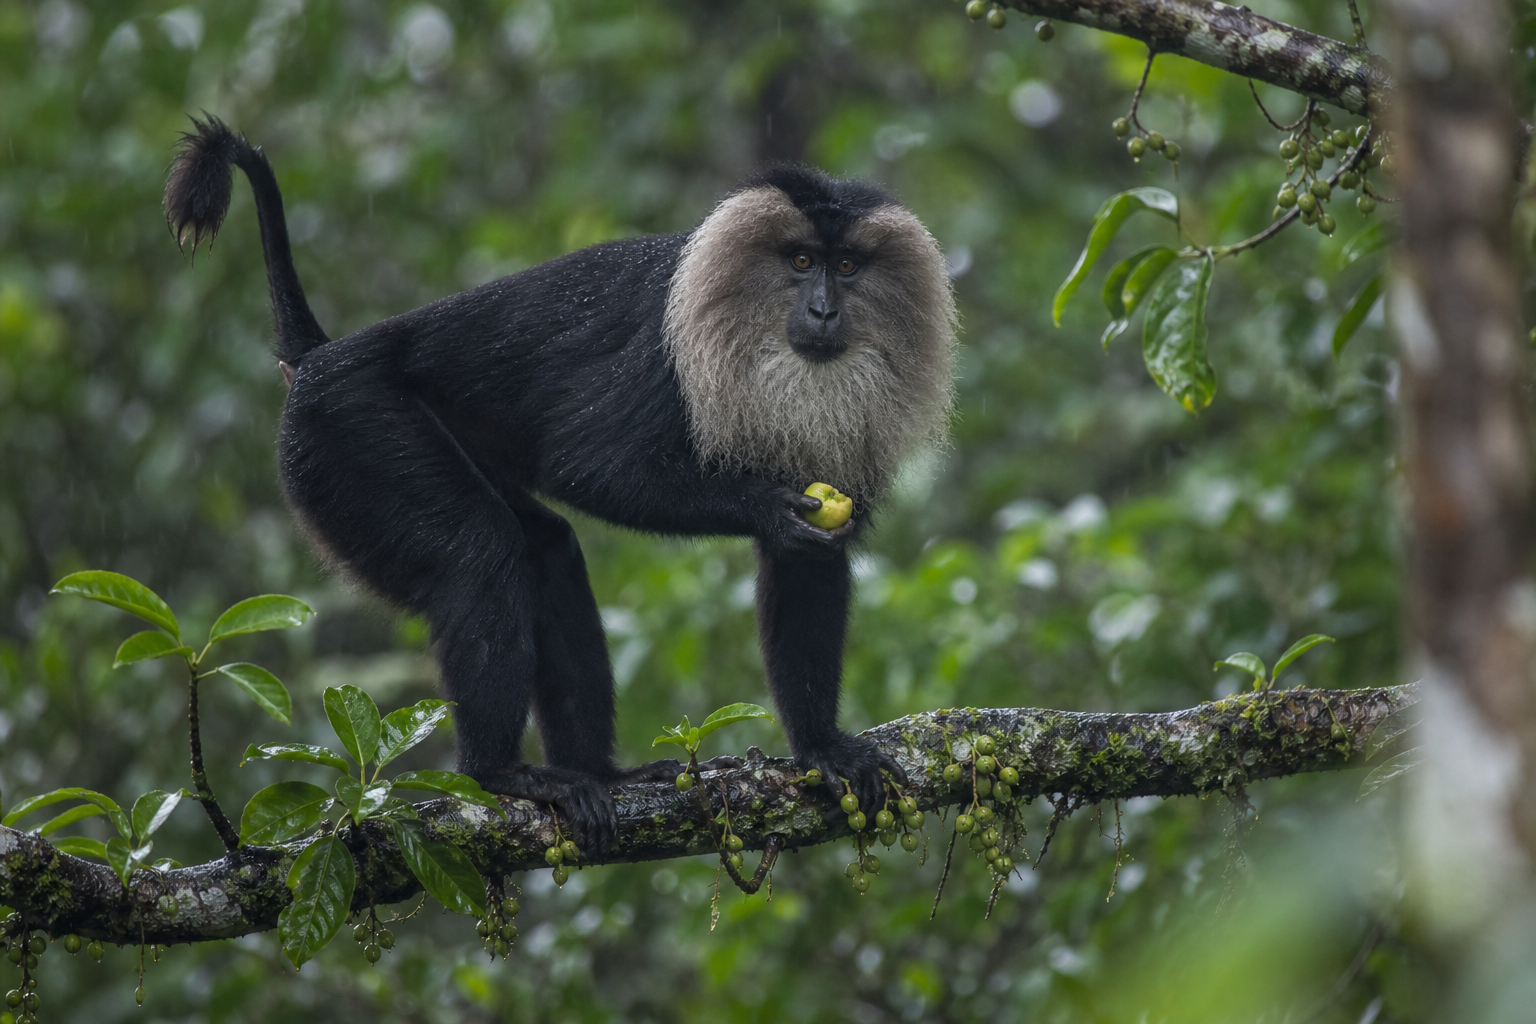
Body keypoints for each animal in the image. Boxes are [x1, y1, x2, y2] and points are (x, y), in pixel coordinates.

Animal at [163, 116, 957, 853]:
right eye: (799, 260)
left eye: (846, 266)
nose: (824, 309)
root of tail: (323, 358)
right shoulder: (663, 352)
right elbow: (589, 461)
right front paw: (766, 506)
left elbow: (807, 559)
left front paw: (822, 747)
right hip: (348, 433)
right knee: (479, 548)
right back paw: (499, 774)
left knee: (546, 549)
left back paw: (600, 774)